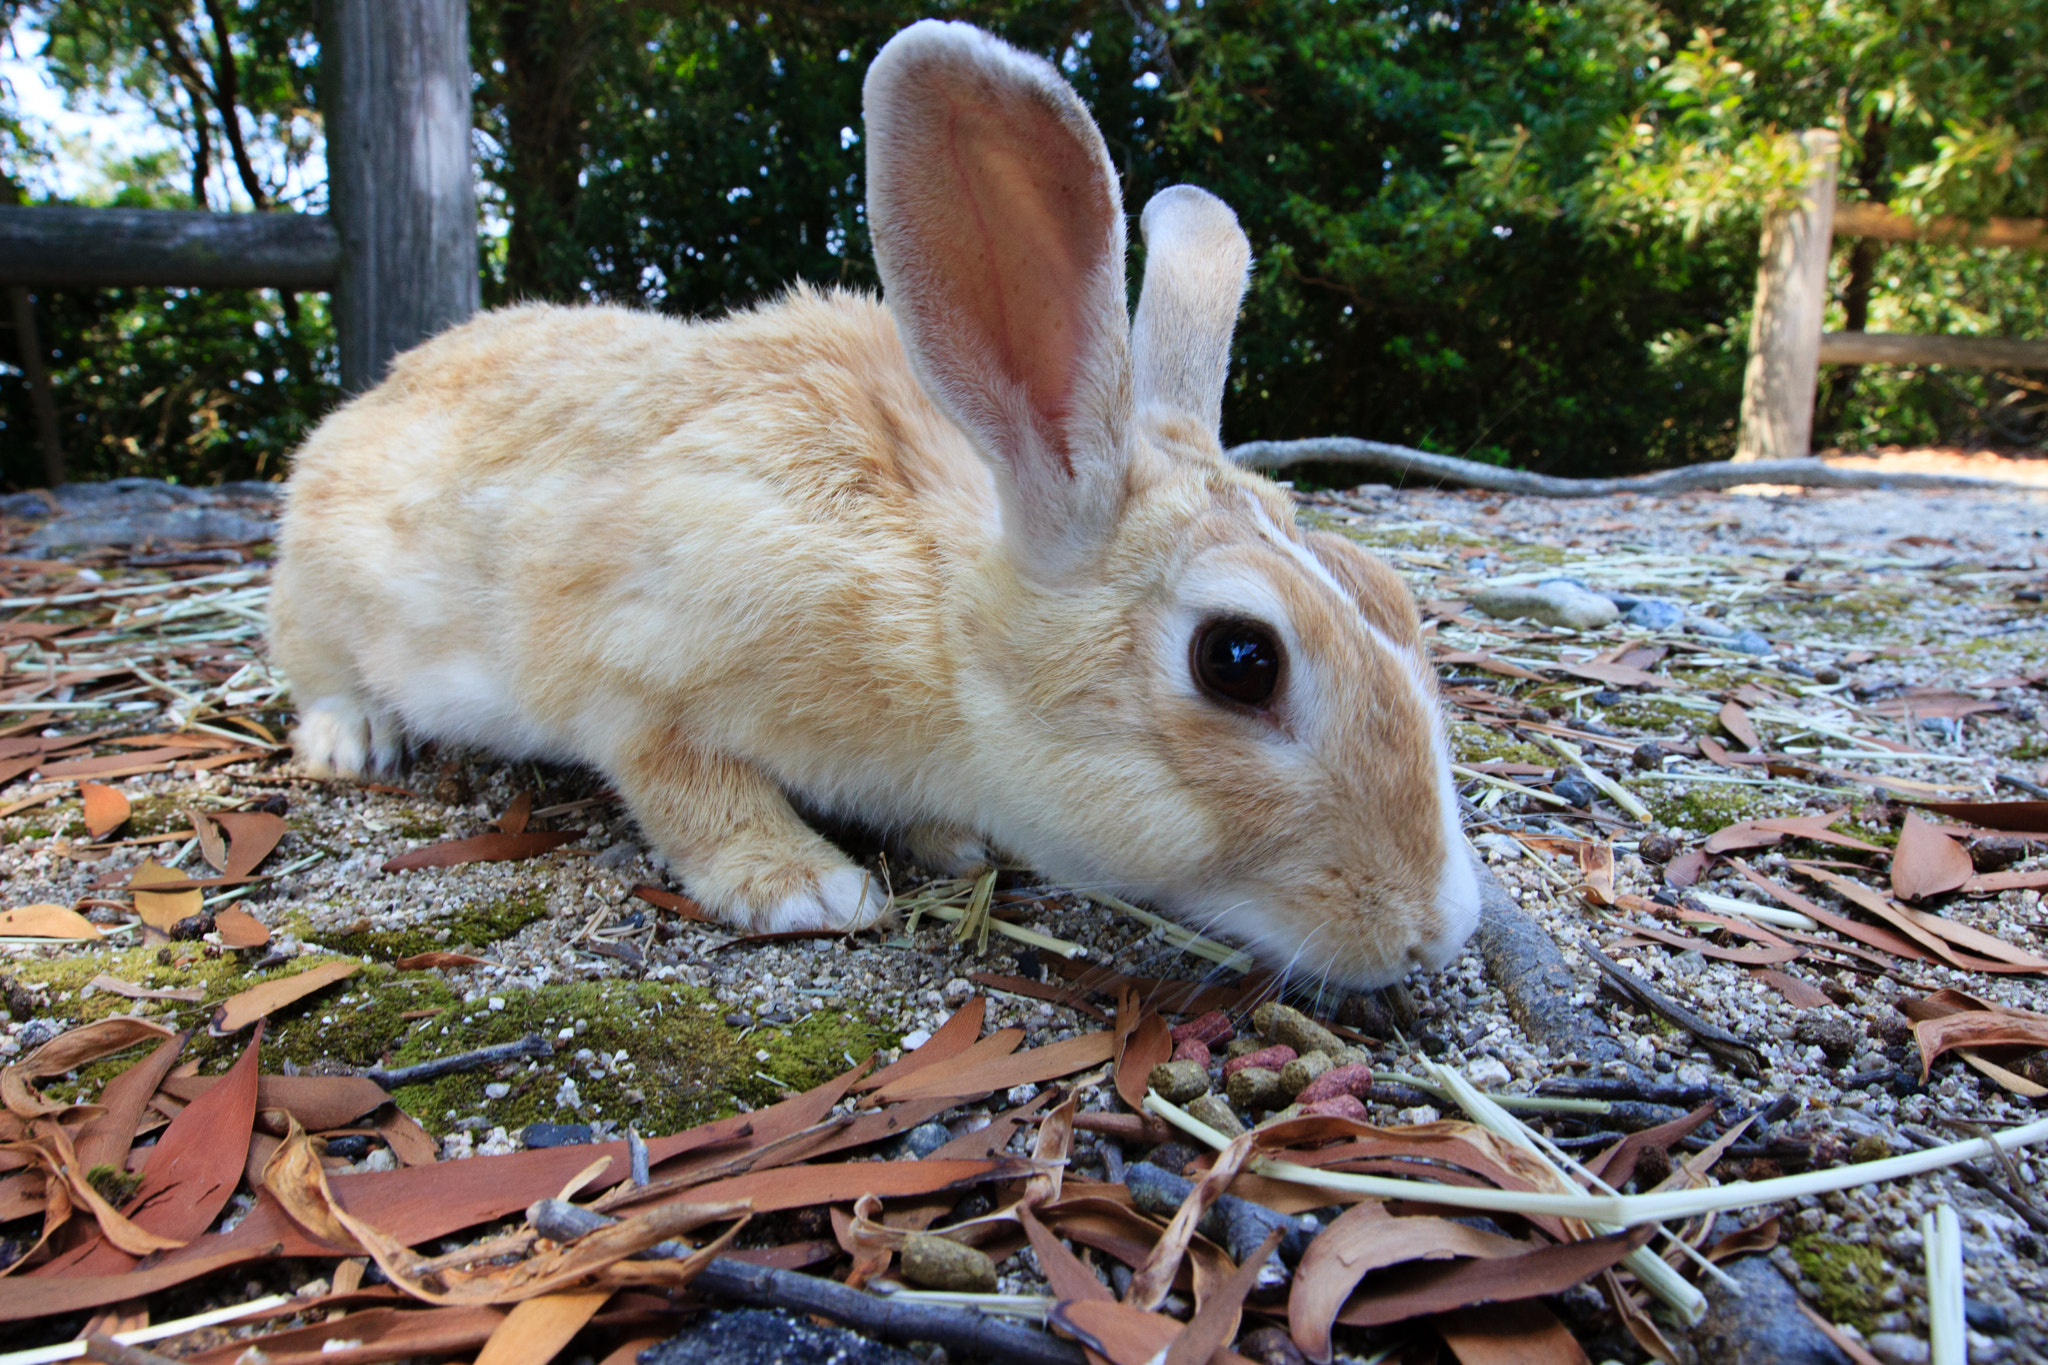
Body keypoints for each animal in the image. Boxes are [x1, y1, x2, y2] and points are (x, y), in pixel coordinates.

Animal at [266, 19, 1481, 991]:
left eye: (1389, 591)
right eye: (1239, 659)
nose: (1434, 933)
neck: (943, 623)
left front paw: (955, 845)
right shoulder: (630, 653)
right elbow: (678, 777)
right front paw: (805, 887)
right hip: (321, 595)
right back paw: (354, 739)